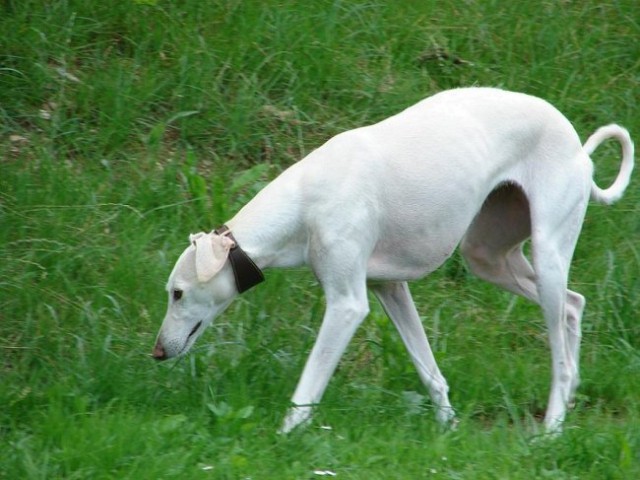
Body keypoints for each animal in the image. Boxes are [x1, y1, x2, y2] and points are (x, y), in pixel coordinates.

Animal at [152, 87, 632, 436]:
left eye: (177, 293)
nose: (157, 352)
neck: (306, 198)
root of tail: (578, 144)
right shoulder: (390, 288)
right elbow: (427, 368)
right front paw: (448, 427)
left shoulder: (348, 305)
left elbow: (310, 383)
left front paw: (285, 436)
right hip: (488, 256)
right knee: (573, 304)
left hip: (548, 252)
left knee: (560, 356)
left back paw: (551, 428)